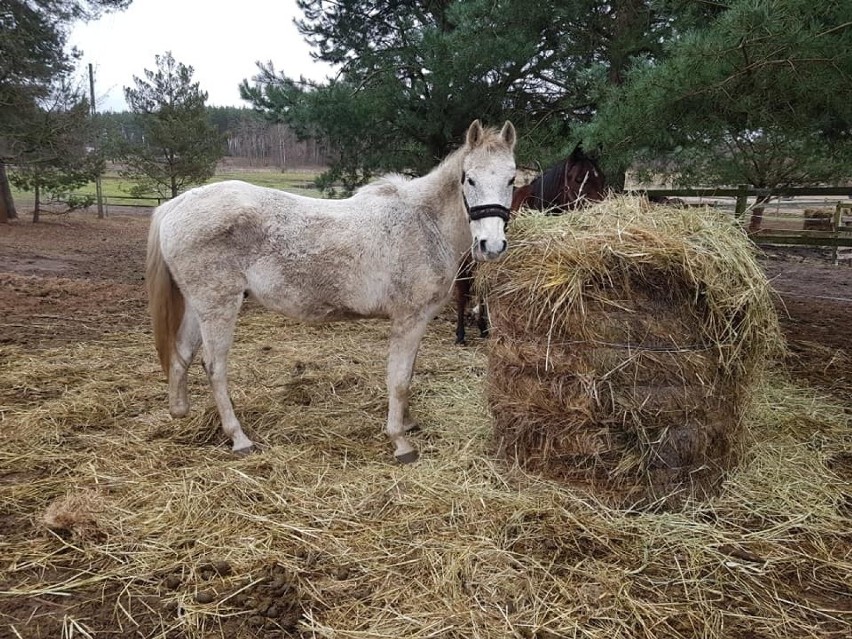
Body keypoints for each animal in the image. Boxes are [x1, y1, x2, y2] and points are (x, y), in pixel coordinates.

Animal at [146, 120, 516, 462]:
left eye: (511, 180)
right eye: (469, 179)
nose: (492, 245)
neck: (424, 222)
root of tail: (176, 204)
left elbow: (407, 374)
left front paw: (408, 423)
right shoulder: (409, 319)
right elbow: (398, 379)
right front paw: (399, 440)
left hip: (198, 306)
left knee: (182, 353)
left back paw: (180, 411)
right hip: (218, 305)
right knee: (214, 366)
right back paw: (239, 438)